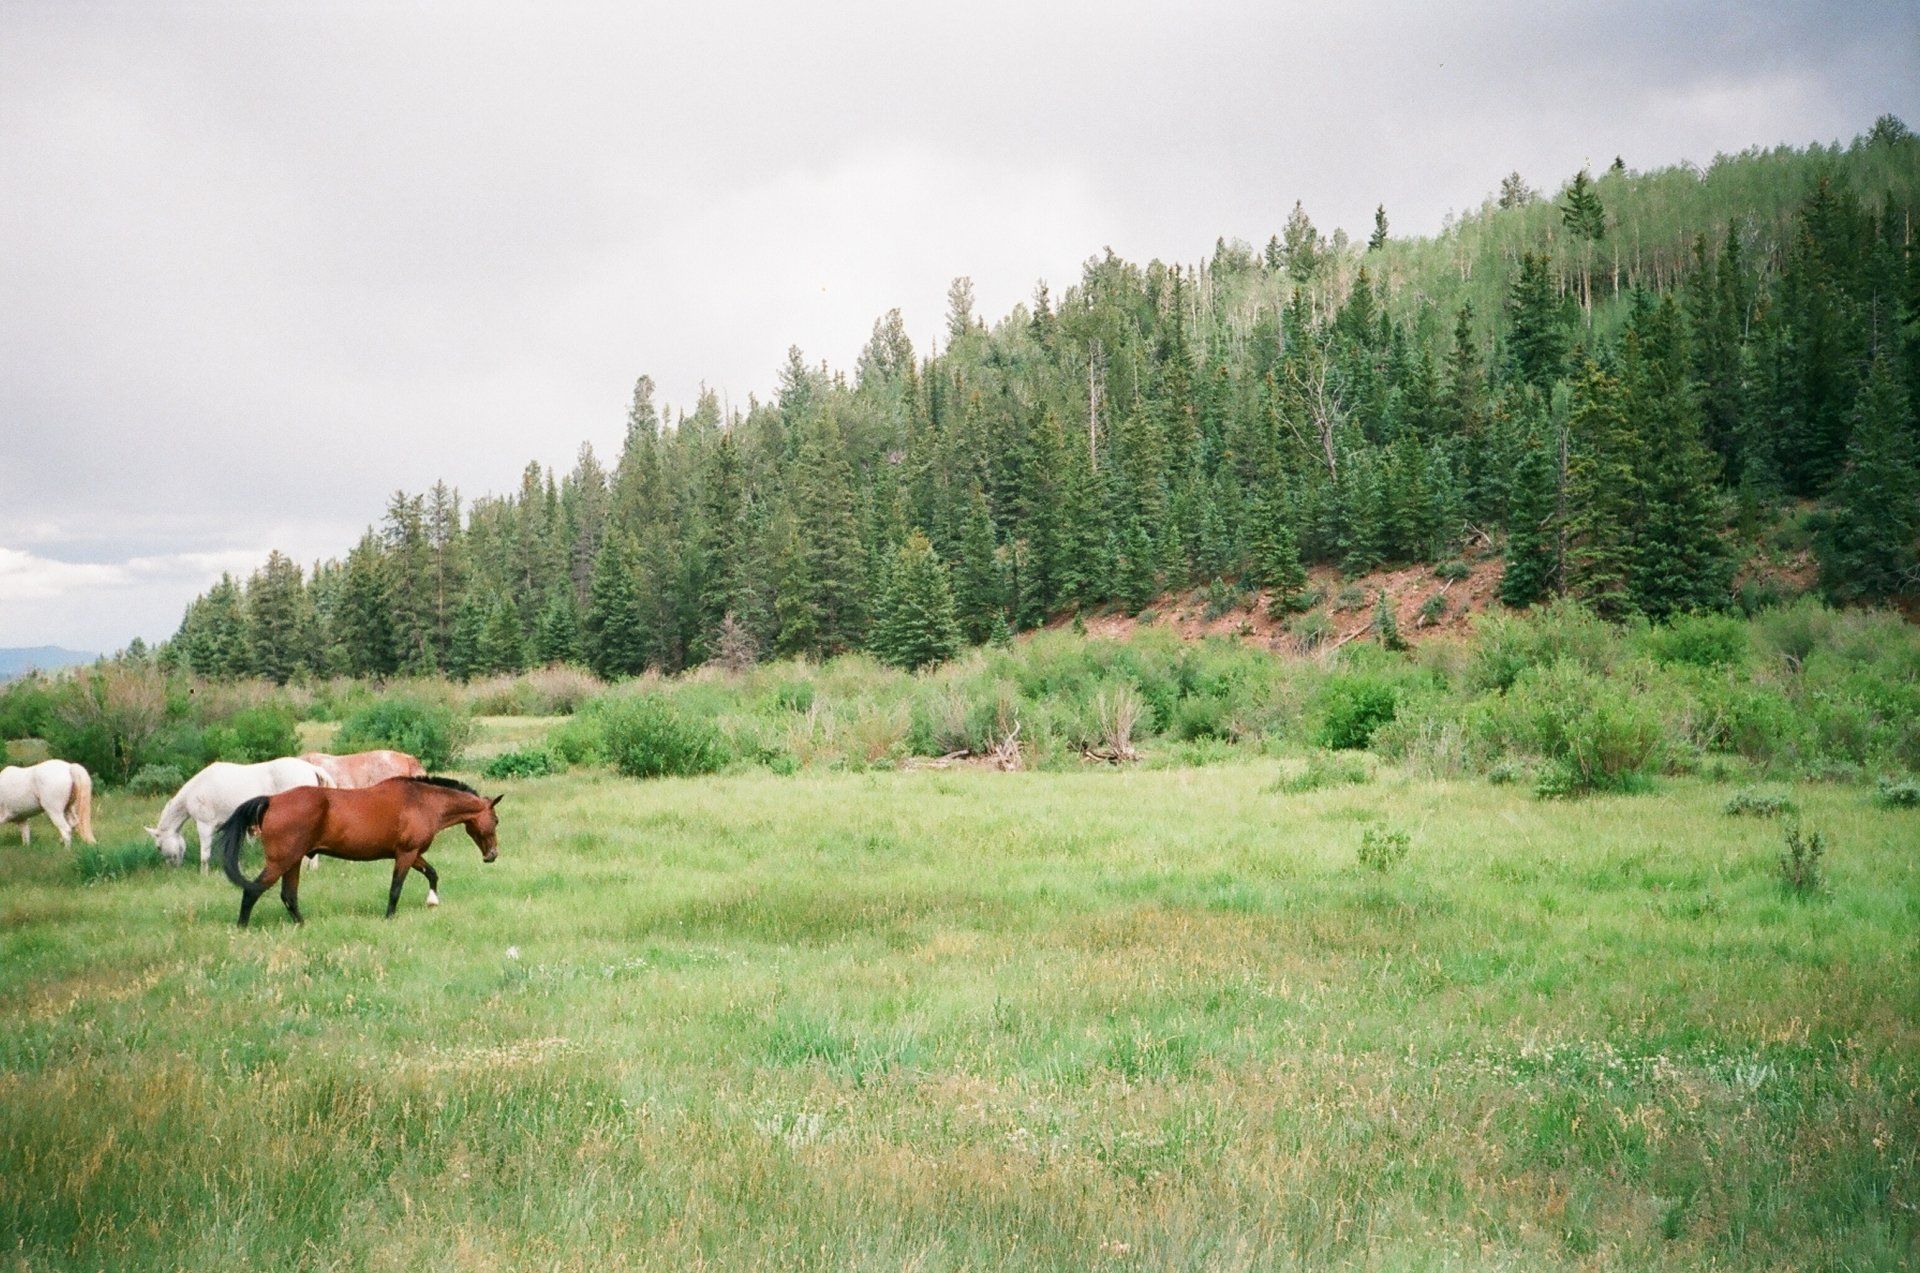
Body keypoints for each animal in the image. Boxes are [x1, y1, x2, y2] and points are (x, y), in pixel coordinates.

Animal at [147, 757, 334, 871]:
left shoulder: (204, 825)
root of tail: (311, 767)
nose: (173, 867)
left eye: (158, 847)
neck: (195, 791)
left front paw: (203, 875)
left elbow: (205, 855)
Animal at [216, 775, 502, 927]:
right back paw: (242, 927)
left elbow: (432, 874)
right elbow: (396, 888)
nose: (493, 855)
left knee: (289, 895)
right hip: (280, 861)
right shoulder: (406, 854)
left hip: (293, 861)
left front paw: (432, 900)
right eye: (496, 820)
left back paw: (302, 924)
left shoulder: (413, 854)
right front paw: (389, 917)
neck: (422, 801)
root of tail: (272, 800)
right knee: (253, 891)